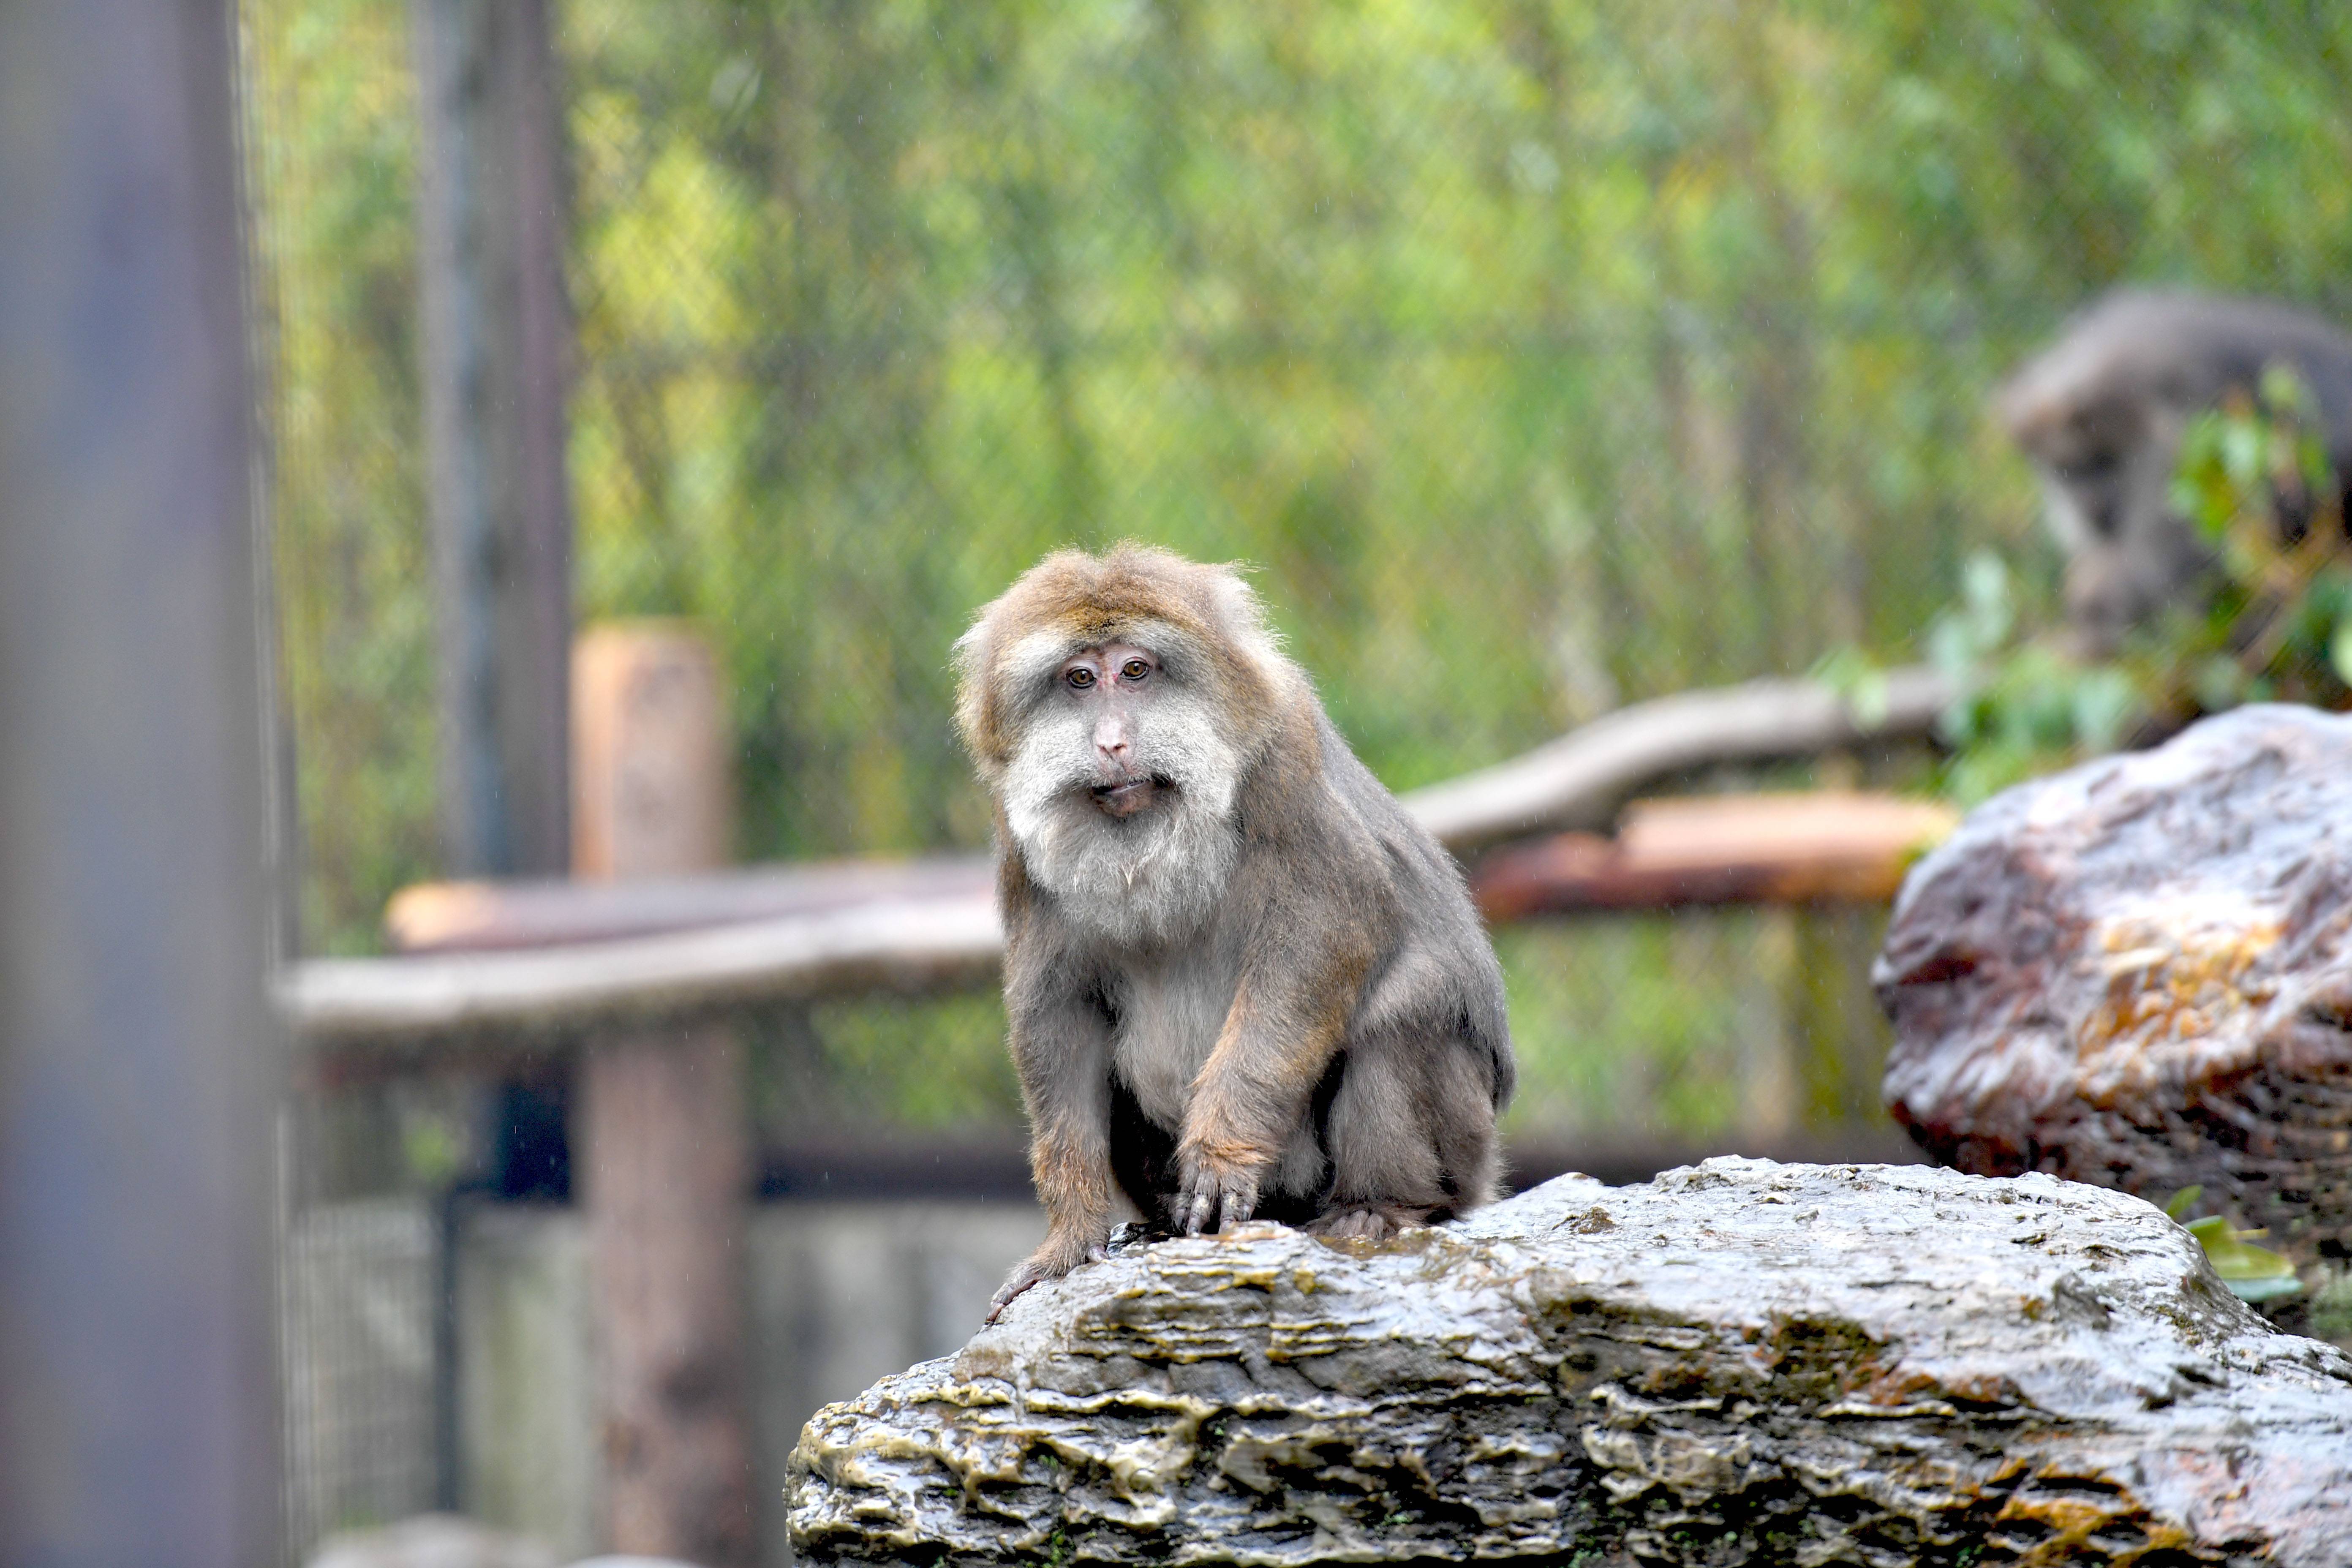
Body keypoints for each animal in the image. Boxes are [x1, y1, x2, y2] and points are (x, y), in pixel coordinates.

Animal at [950, 545, 1514, 1316]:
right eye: (1079, 679)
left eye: (1136, 671)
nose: (1112, 742)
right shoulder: (1016, 831)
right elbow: (1056, 1011)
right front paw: (1069, 1237)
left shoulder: (1281, 758)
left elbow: (1327, 927)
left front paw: (1221, 1152)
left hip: (1461, 1151)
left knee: (1406, 1013)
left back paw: (1380, 1206)